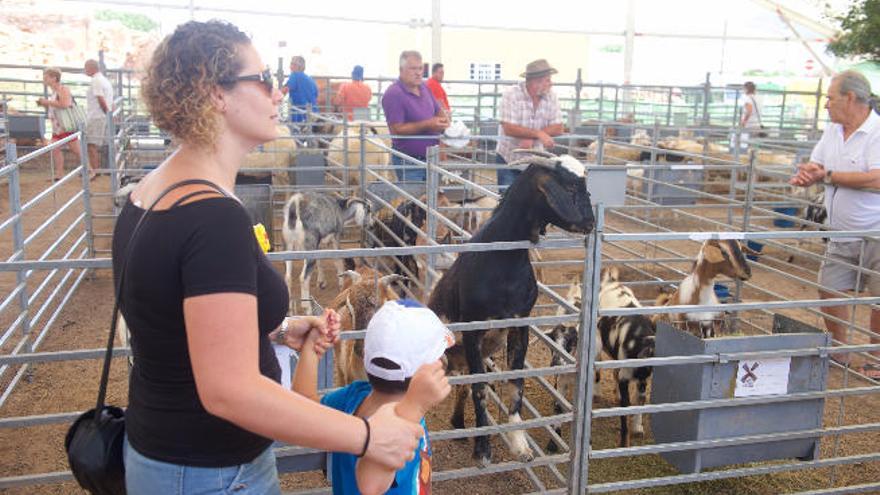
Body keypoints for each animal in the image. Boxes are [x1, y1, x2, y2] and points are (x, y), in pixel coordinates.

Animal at [430, 150, 596, 464]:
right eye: (569, 187)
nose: (590, 224)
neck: (503, 260)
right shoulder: (473, 330)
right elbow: (480, 388)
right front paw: (483, 449)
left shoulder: (519, 324)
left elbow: (514, 383)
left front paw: (519, 443)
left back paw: (459, 422)